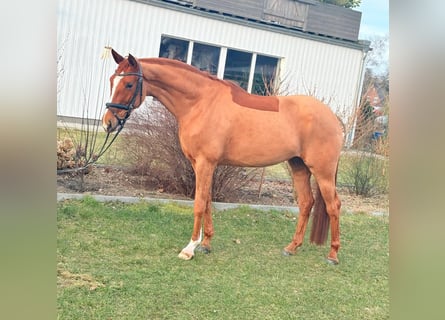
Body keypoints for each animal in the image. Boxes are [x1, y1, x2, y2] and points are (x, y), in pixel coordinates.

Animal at [102, 48, 342, 264]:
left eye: (129, 84)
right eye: (112, 80)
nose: (108, 123)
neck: (200, 102)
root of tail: (334, 118)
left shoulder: (205, 163)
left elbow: (199, 203)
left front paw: (190, 248)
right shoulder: (200, 164)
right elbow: (208, 199)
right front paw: (206, 244)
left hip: (322, 172)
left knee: (334, 206)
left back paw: (333, 255)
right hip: (299, 166)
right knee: (306, 203)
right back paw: (292, 248)